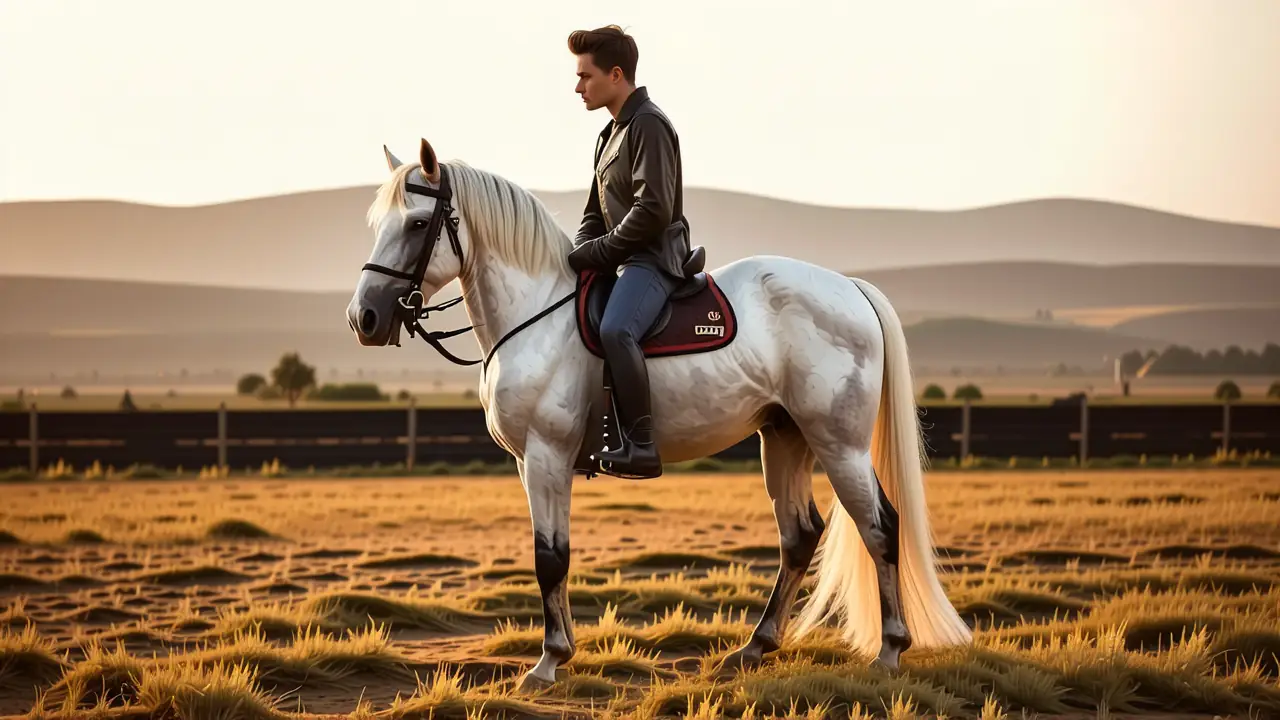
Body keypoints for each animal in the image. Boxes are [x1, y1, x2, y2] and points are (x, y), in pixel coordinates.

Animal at [346, 138, 972, 690]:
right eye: (377, 223)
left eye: (418, 225)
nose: (364, 318)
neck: (536, 313)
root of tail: (852, 288)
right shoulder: (535, 463)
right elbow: (558, 553)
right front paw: (563, 652)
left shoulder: (545, 455)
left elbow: (549, 557)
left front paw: (548, 662)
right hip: (784, 437)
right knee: (799, 536)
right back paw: (756, 646)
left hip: (838, 445)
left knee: (880, 526)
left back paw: (890, 650)